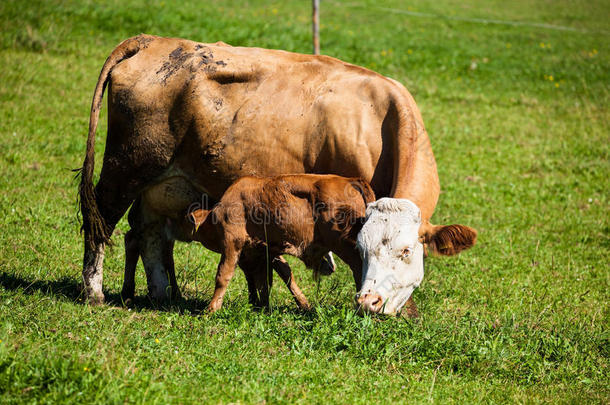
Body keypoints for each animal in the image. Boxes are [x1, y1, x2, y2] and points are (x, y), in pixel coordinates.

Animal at [77, 33, 476, 314]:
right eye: (364, 249)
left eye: (406, 250)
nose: (369, 303)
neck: (377, 119)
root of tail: (151, 41)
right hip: (124, 169)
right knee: (101, 222)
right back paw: (94, 292)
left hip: (162, 187)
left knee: (149, 236)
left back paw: (161, 294)